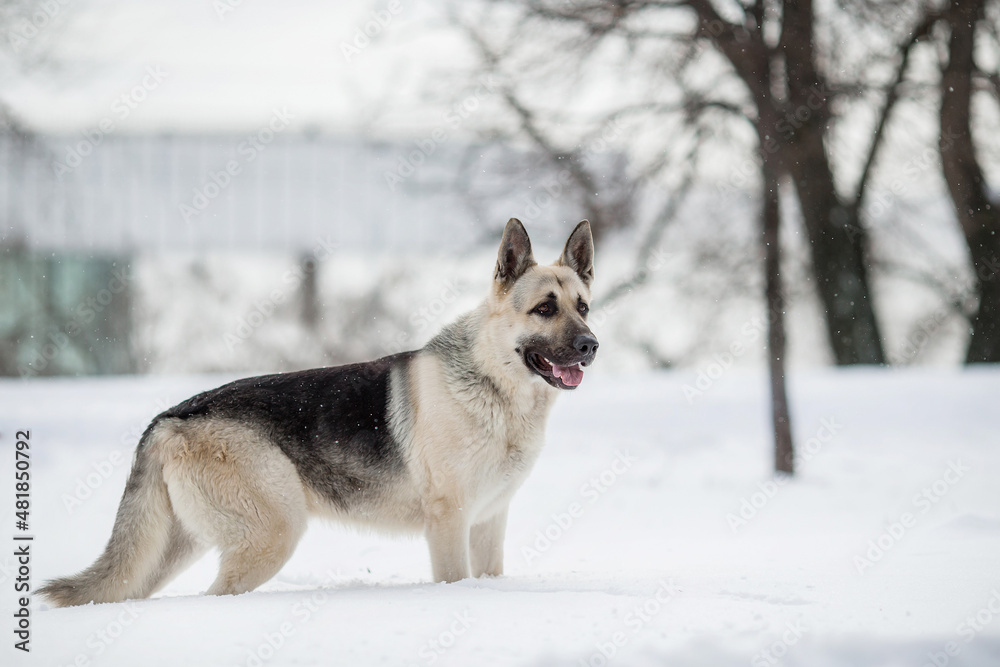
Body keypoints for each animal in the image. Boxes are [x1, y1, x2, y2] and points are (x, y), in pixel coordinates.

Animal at [41, 220, 592, 612]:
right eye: (544, 309)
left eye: (583, 306)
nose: (591, 345)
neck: (494, 386)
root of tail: (171, 416)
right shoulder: (449, 523)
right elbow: (455, 579)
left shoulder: (488, 522)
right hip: (271, 536)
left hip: (176, 549)